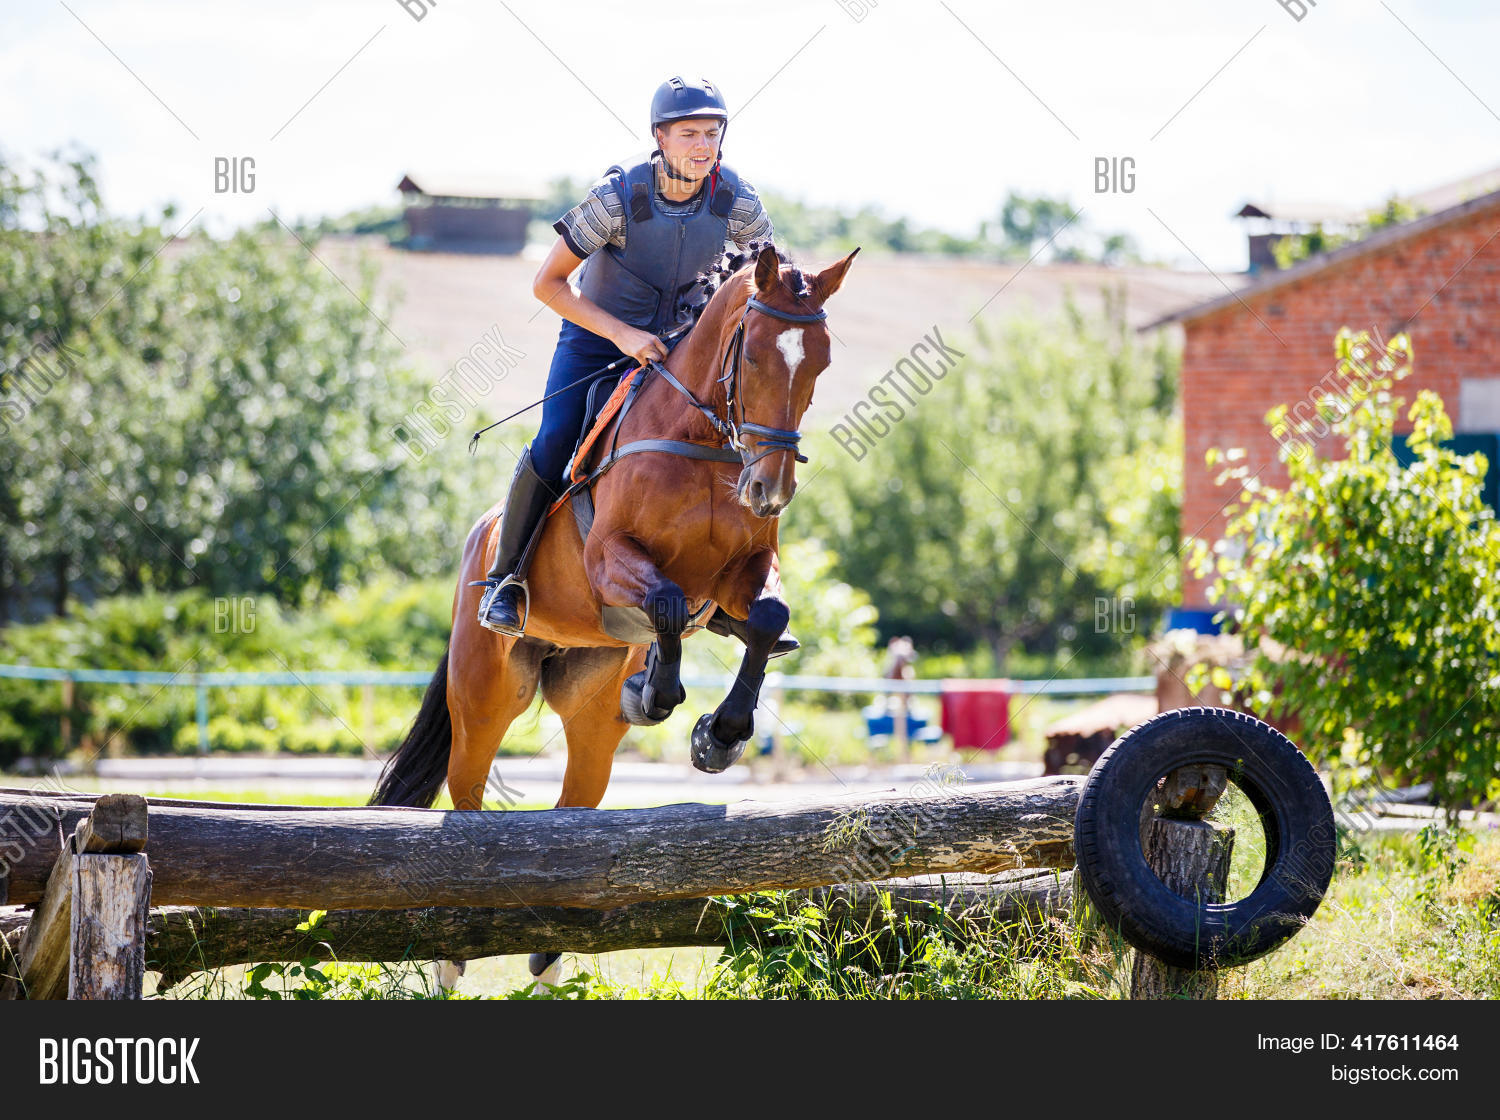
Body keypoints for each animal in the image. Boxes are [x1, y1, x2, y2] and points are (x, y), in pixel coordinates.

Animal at [370, 243, 858, 990]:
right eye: (751, 356)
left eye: (821, 363)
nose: (769, 490)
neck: (705, 442)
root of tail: (479, 538)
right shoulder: (611, 560)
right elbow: (666, 602)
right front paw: (656, 693)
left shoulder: (742, 575)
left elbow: (765, 617)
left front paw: (720, 734)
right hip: (485, 693)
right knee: (469, 797)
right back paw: (453, 955)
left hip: (588, 710)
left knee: (576, 812)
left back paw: (545, 957)